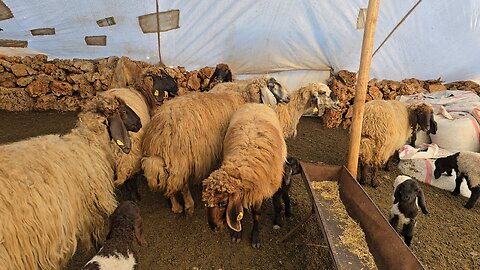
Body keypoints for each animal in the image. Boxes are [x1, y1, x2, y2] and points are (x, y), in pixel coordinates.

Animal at [139, 76, 288, 215]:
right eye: (273, 85)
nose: (289, 98)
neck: (243, 96)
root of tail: (160, 134)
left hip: (170, 163)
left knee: (169, 186)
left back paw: (176, 207)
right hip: (181, 160)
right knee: (183, 185)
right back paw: (189, 205)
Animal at [202, 102, 286, 248]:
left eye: (223, 203)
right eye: (206, 202)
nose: (213, 227)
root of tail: (256, 103)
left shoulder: (259, 191)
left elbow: (256, 214)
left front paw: (255, 237)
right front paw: (237, 234)